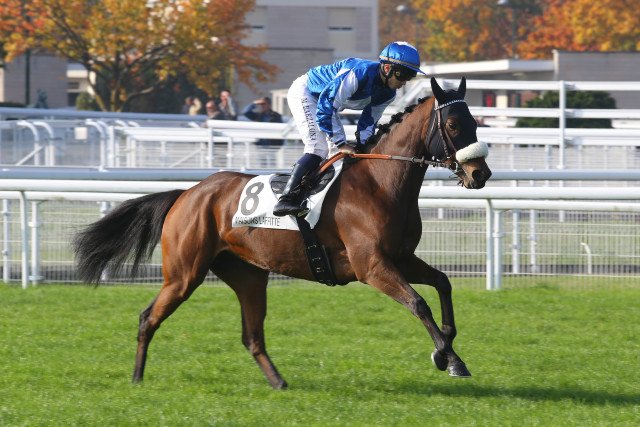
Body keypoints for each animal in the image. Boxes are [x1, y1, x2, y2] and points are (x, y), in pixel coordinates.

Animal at [73, 77, 491, 389]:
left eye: (475, 123)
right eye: (454, 125)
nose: (480, 174)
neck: (379, 182)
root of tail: (187, 194)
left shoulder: (401, 258)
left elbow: (443, 284)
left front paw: (445, 352)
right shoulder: (371, 266)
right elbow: (419, 303)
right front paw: (450, 359)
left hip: (248, 276)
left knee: (251, 335)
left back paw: (278, 382)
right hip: (183, 274)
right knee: (148, 317)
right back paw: (137, 378)